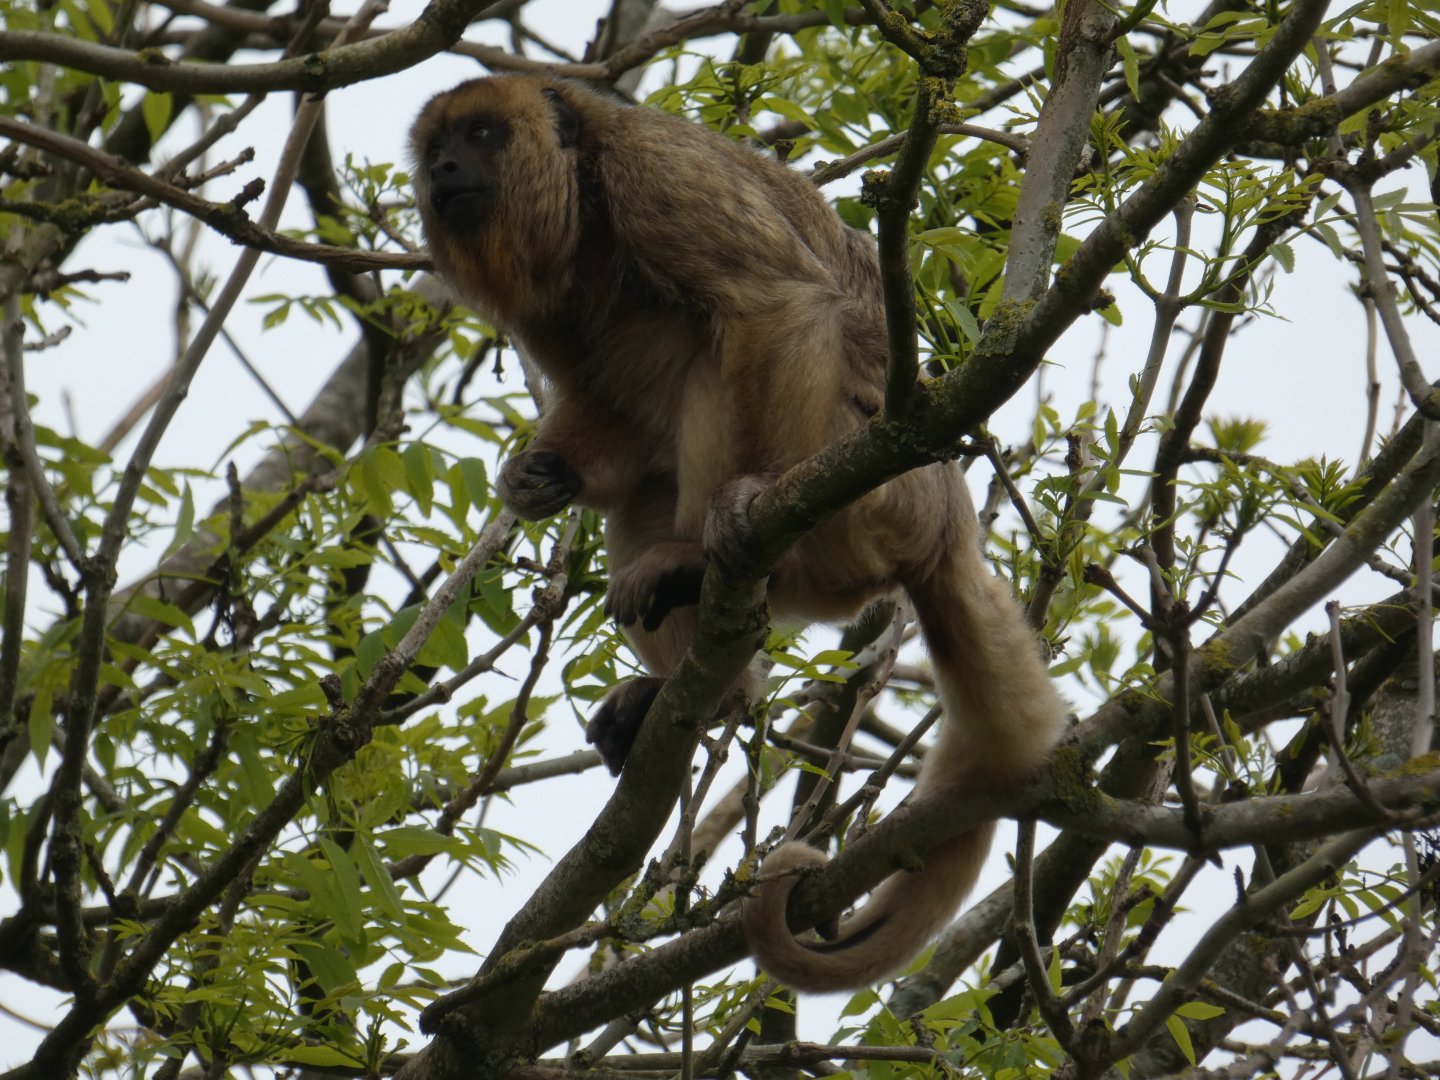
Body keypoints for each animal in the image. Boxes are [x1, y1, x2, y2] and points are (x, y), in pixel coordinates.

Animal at [410, 75, 1065, 993]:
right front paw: (536, 476)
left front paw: (740, 503)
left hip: (870, 488)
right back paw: (704, 689)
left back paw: (708, 556)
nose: (443, 168)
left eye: (481, 134)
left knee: (713, 350)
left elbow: (770, 303)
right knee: (647, 471)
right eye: (437, 145)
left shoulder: (658, 174)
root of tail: (946, 520)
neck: (581, 209)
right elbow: (609, 410)